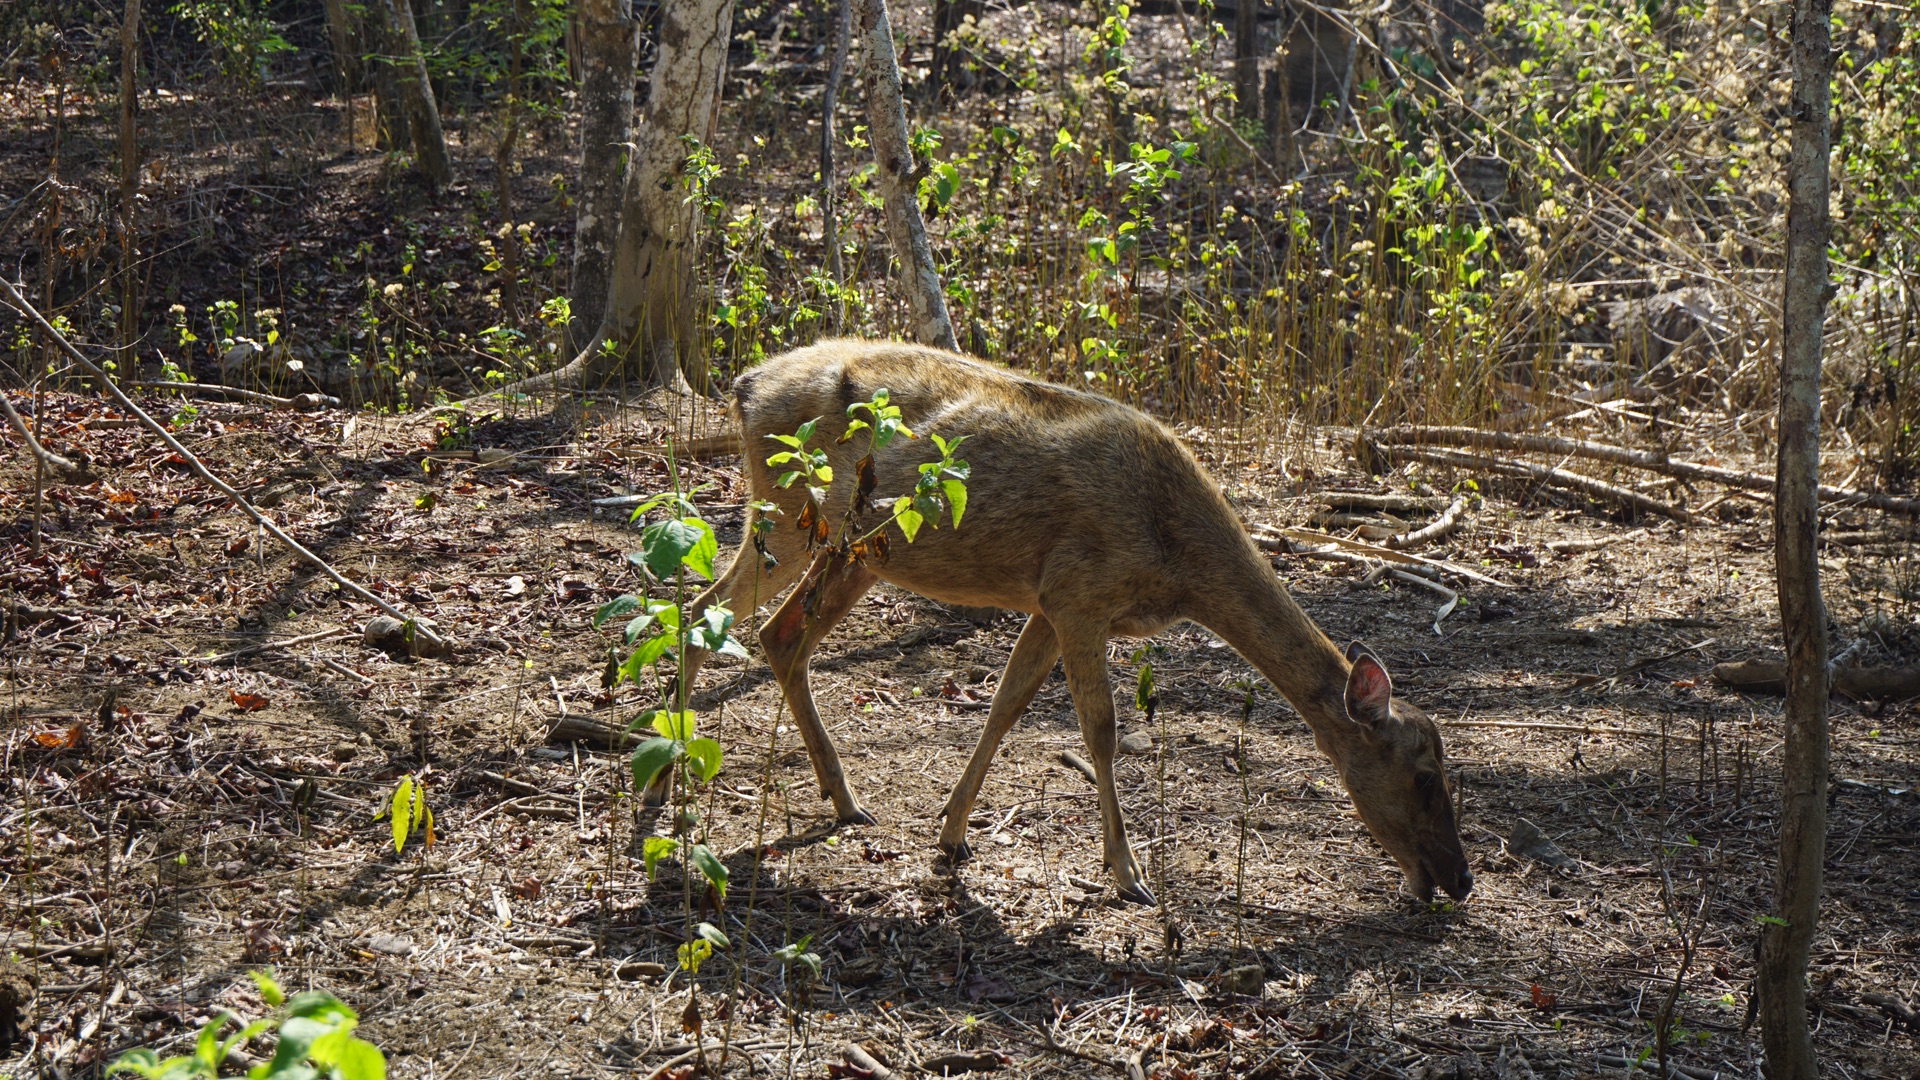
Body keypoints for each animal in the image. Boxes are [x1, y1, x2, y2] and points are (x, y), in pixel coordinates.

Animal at [668, 338, 1474, 899]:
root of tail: (743, 387)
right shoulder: (1079, 593)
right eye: (1425, 777)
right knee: (703, 610)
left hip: (853, 549)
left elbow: (1006, 703)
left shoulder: (1050, 602)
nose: (1461, 881)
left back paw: (843, 800)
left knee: (773, 634)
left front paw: (951, 835)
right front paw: (1127, 872)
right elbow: (1101, 730)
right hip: (785, 511)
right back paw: (668, 774)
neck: (1177, 563)